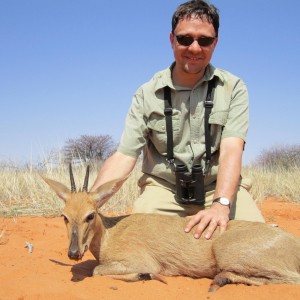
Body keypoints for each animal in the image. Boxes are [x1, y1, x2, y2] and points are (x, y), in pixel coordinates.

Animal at [41, 165, 300, 292]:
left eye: (90, 215)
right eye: (64, 216)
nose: (73, 253)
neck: (110, 233)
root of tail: (293, 244)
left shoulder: (140, 262)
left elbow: (96, 270)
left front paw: (144, 276)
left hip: (229, 253)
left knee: (290, 279)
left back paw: (221, 280)